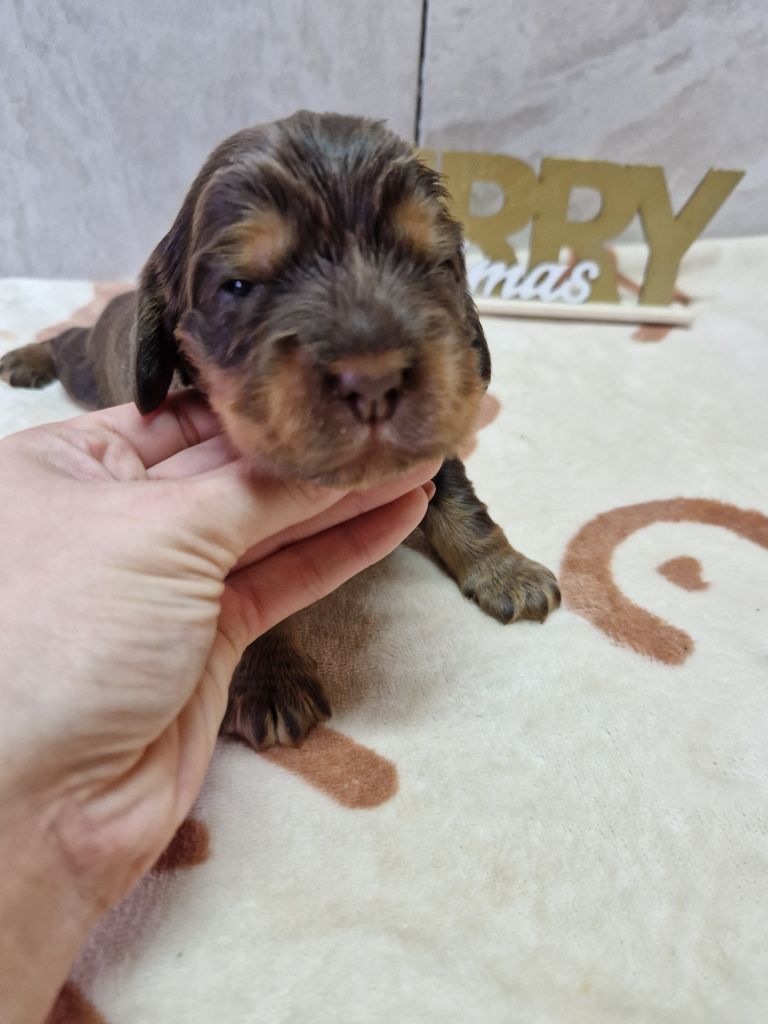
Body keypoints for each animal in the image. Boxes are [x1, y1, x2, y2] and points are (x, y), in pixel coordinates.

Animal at [0, 110, 560, 748]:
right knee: (65, 341)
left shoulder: (430, 451)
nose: (373, 380)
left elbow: (462, 505)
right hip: (87, 368)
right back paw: (26, 358)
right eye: (240, 286)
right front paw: (270, 680)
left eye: (434, 265)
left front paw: (507, 571)